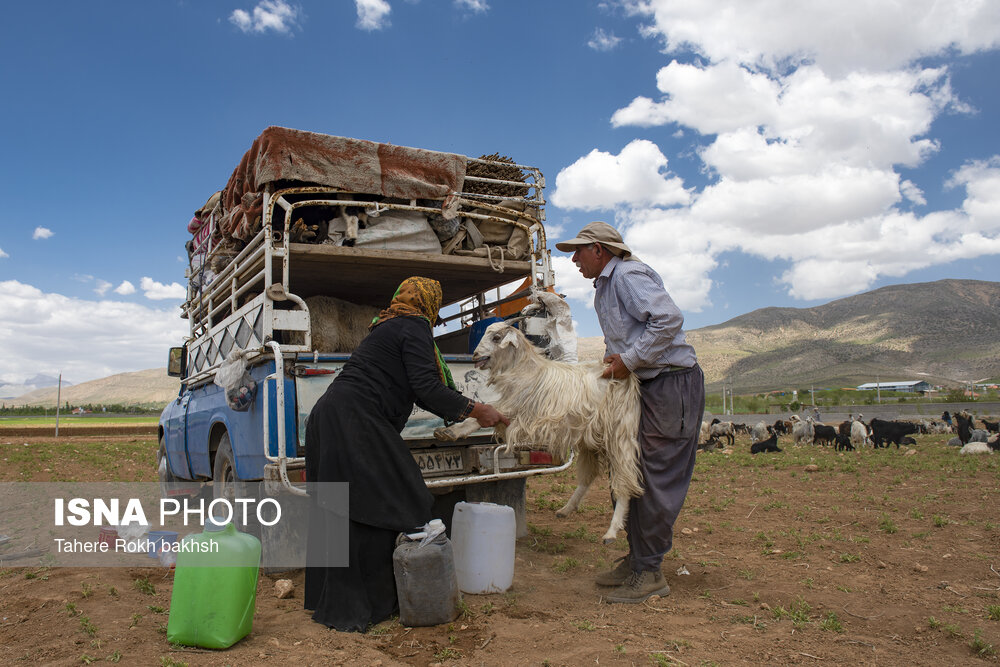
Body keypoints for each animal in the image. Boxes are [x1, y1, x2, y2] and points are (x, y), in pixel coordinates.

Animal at [436, 320, 640, 544]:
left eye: (496, 338)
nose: (475, 355)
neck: (527, 370)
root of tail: (627, 380)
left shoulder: (515, 408)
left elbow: (482, 414)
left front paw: (453, 431)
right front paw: (447, 432)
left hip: (619, 433)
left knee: (624, 480)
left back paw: (611, 531)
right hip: (590, 437)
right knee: (589, 475)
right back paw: (566, 509)